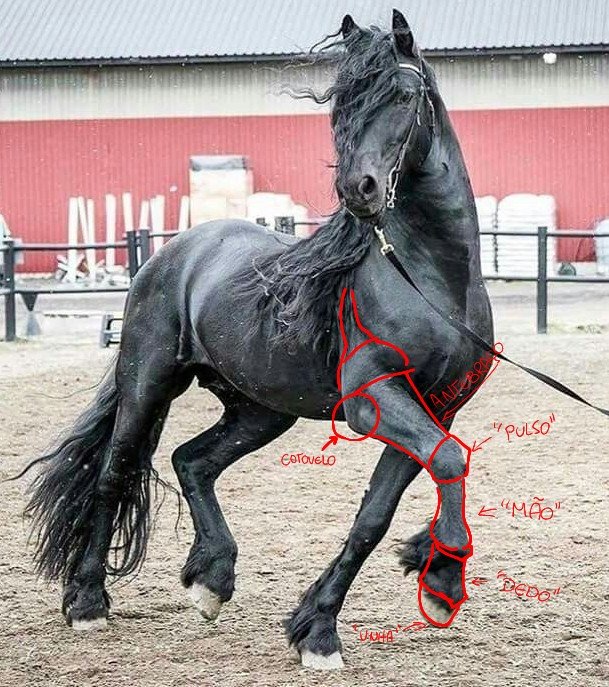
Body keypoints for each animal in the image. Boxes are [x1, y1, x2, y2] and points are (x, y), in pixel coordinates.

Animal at [21, 10, 493, 670]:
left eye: (403, 96)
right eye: (344, 104)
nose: (361, 190)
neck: (430, 278)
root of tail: (175, 252)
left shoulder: (435, 407)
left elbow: (378, 511)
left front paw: (319, 627)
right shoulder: (376, 400)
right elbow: (448, 461)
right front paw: (442, 579)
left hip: (260, 409)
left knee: (191, 461)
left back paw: (211, 582)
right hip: (148, 382)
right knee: (115, 471)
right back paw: (87, 601)